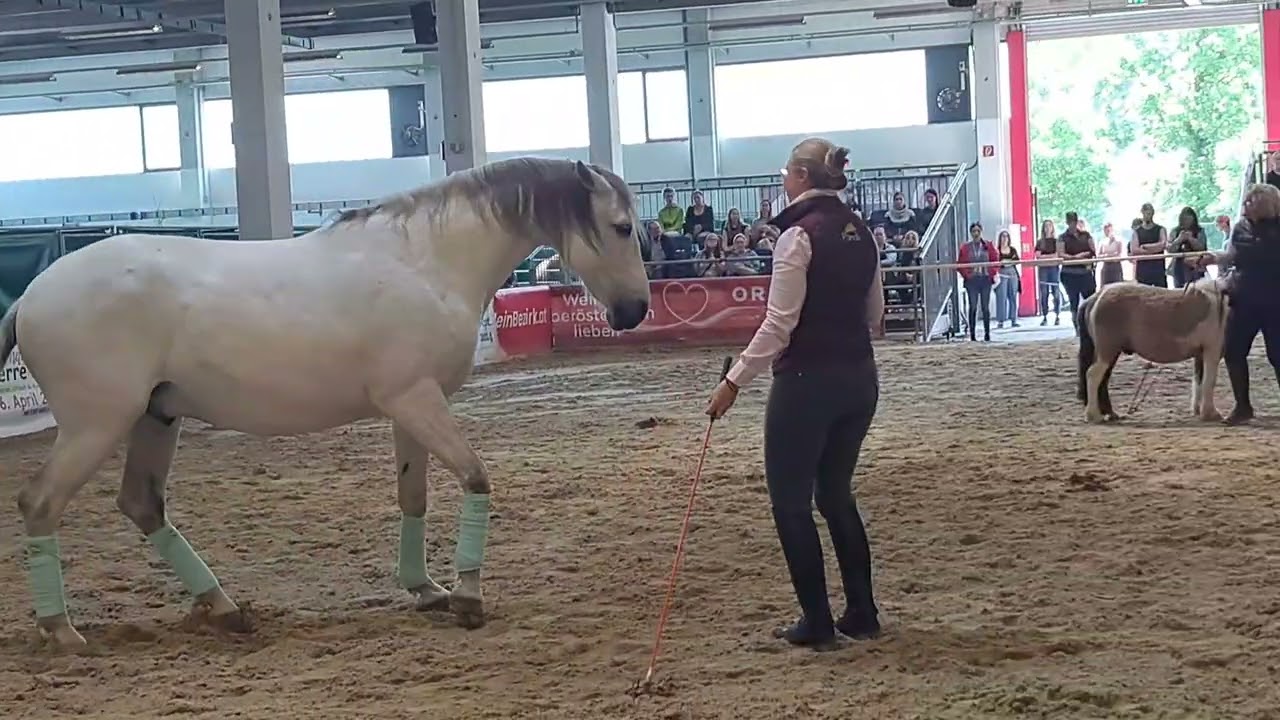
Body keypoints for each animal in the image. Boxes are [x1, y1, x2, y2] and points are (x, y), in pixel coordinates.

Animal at [0, 157, 651, 650]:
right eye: (622, 227)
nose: (635, 311)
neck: (425, 262)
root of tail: (30, 295)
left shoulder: (411, 406)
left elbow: (413, 496)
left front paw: (426, 590)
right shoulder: (417, 400)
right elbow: (475, 478)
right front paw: (468, 597)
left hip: (156, 418)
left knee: (141, 504)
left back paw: (225, 609)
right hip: (96, 425)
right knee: (41, 503)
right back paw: (62, 630)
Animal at [1076, 275, 1231, 424]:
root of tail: (1096, 297)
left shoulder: (1200, 354)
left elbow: (1199, 380)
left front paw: (1198, 410)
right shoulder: (1212, 350)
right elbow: (1209, 381)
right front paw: (1211, 413)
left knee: (1103, 380)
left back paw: (1109, 413)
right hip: (1107, 350)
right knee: (1093, 375)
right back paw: (1094, 416)